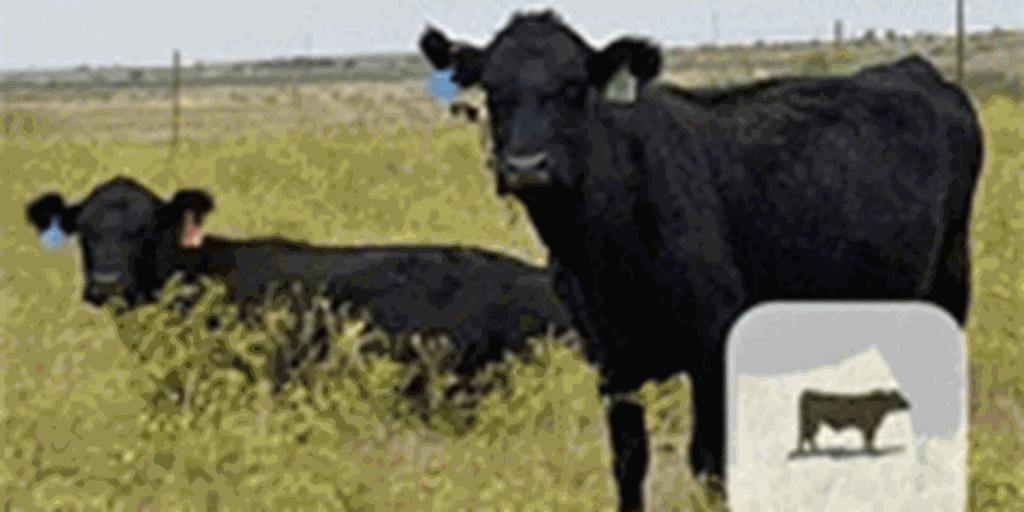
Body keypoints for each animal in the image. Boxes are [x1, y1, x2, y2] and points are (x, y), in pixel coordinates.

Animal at [420, 9, 982, 511]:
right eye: (493, 91)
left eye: (575, 88)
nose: (525, 166)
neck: (603, 250)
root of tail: (915, 69)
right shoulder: (610, 358)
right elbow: (628, 462)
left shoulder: (714, 347)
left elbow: (710, 464)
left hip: (948, 287)